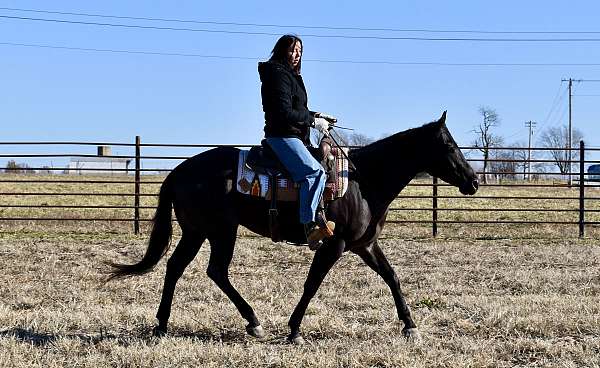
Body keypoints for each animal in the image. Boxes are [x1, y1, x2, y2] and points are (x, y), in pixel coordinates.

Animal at [108, 112, 478, 344]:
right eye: (449, 146)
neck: (363, 181)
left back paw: (164, 324)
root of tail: (178, 171)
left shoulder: (365, 244)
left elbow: (392, 277)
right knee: (212, 270)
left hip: (199, 232)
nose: (473, 181)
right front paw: (294, 329)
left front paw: (410, 326)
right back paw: (251, 322)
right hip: (218, 231)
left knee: (177, 267)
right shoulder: (334, 244)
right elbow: (312, 284)